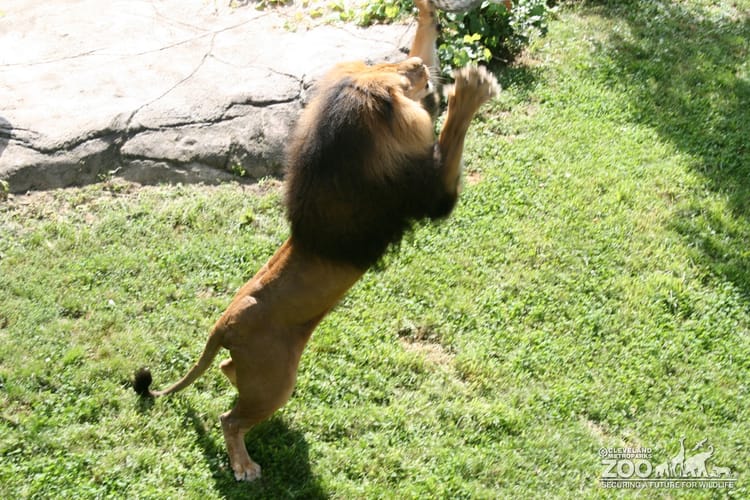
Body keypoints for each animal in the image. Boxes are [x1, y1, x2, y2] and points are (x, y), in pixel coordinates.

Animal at [134, 0, 499, 481]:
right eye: (398, 77)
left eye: (391, 62)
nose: (419, 66)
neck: (344, 152)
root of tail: (222, 325)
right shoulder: (430, 192)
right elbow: (452, 131)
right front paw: (471, 87)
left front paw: (426, 17)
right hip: (275, 381)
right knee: (229, 419)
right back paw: (244, 465)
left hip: (261, 374)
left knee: (231, 377)